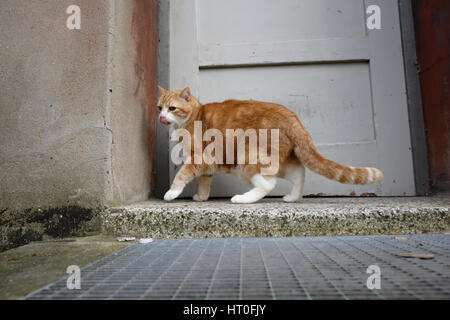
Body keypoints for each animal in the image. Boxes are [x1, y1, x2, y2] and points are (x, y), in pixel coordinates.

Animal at [156, 86, 384, 204]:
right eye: (159, 107)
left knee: (267, 184)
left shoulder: (200, 158)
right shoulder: (206, 165)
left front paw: (172, 193)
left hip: (247, 159)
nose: (160, 117)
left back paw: (243, 199)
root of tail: (293, 118)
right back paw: (292, 197)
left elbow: (181, 175)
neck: (194, 116)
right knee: (298, 174)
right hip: (282, 161)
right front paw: (201, 197)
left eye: (172, 108)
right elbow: (204, 181)